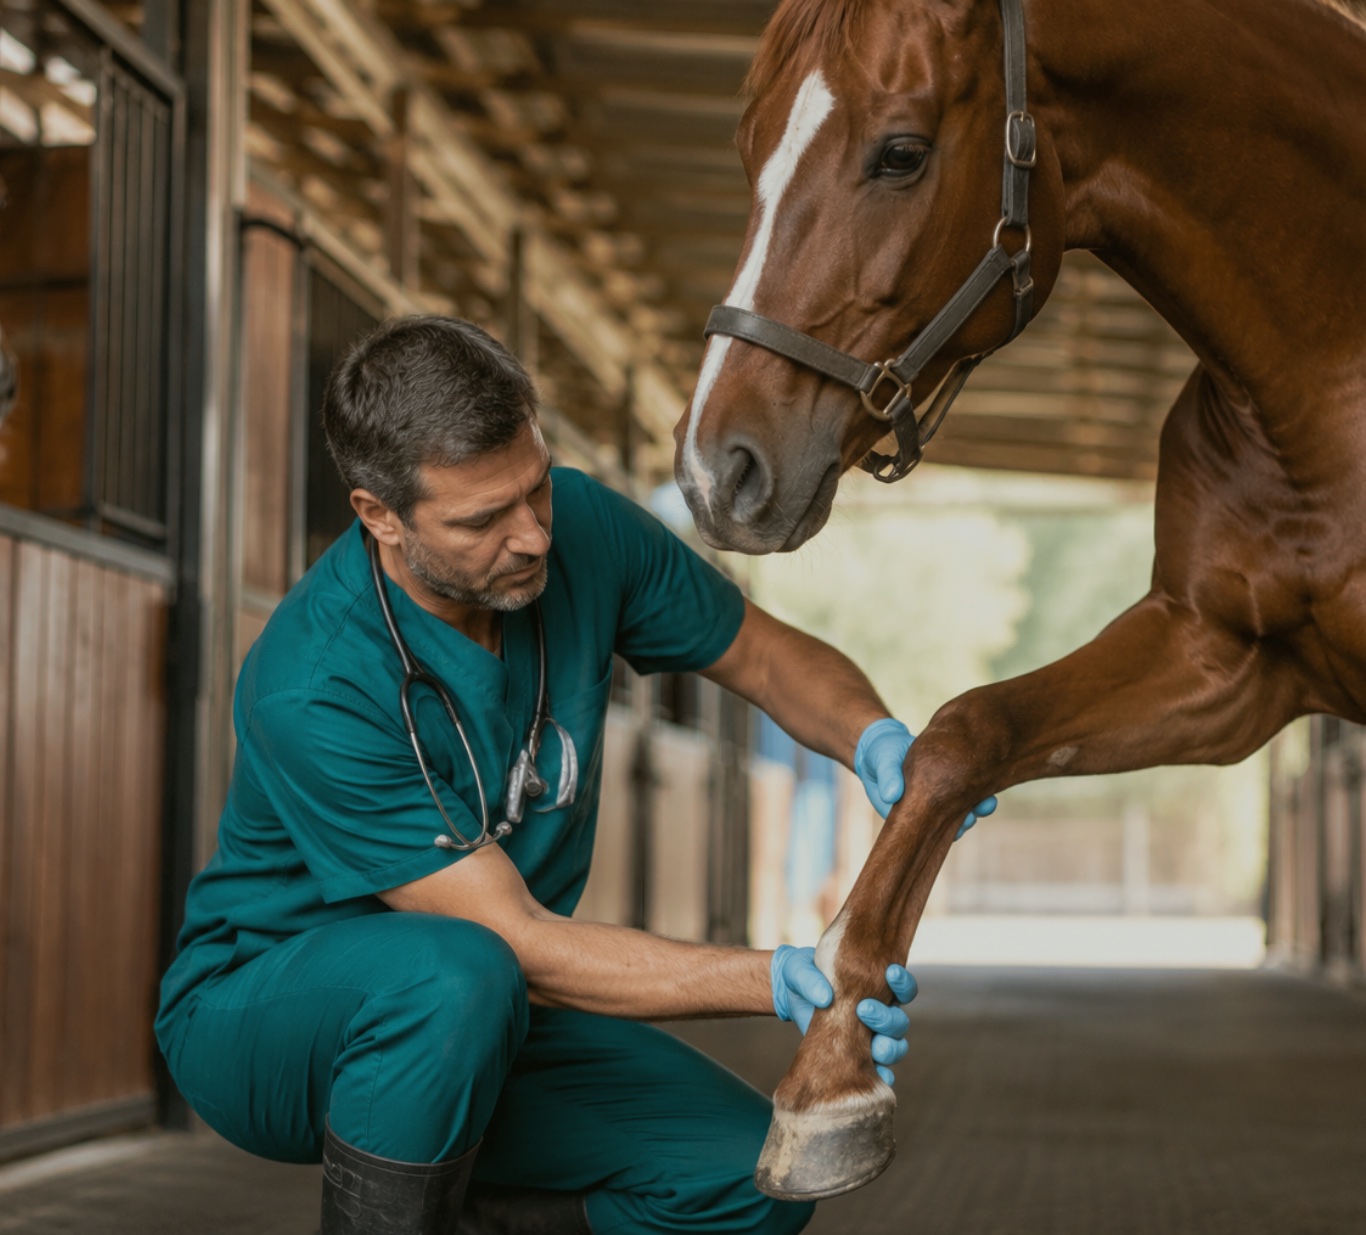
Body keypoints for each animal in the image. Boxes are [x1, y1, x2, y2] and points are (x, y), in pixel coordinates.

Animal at [673, 0, 1366, 1202]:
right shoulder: (1223, 661)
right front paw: (832, 1076)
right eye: (749, 151)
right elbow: (964, 737)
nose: (719, 470)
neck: (1330, 368)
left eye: (901, 153)